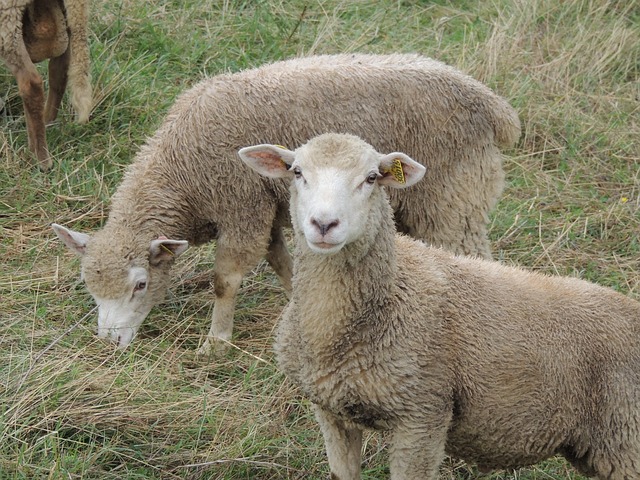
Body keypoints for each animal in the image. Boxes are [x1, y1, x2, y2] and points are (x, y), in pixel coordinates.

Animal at [0, 0, 92, 170]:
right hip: (63, 18)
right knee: (60, 70)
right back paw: (44, 125)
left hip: (7, 22)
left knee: (31, 83)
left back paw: (41, 159)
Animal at [50, 52, 520, 354]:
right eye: (89, 286)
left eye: (141, 284)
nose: (109, 343)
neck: (183, 169)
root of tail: (496, 106)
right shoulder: (270, 209)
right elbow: (281, 262)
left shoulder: (241, 207)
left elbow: (226, 280)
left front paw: (216, 342)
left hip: (454, 197)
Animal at [239, 133, 640, 480]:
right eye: (297, 172)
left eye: (371, 178)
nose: (324, 224)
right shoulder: (330, 411)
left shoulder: (423, 415)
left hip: (626, 436)